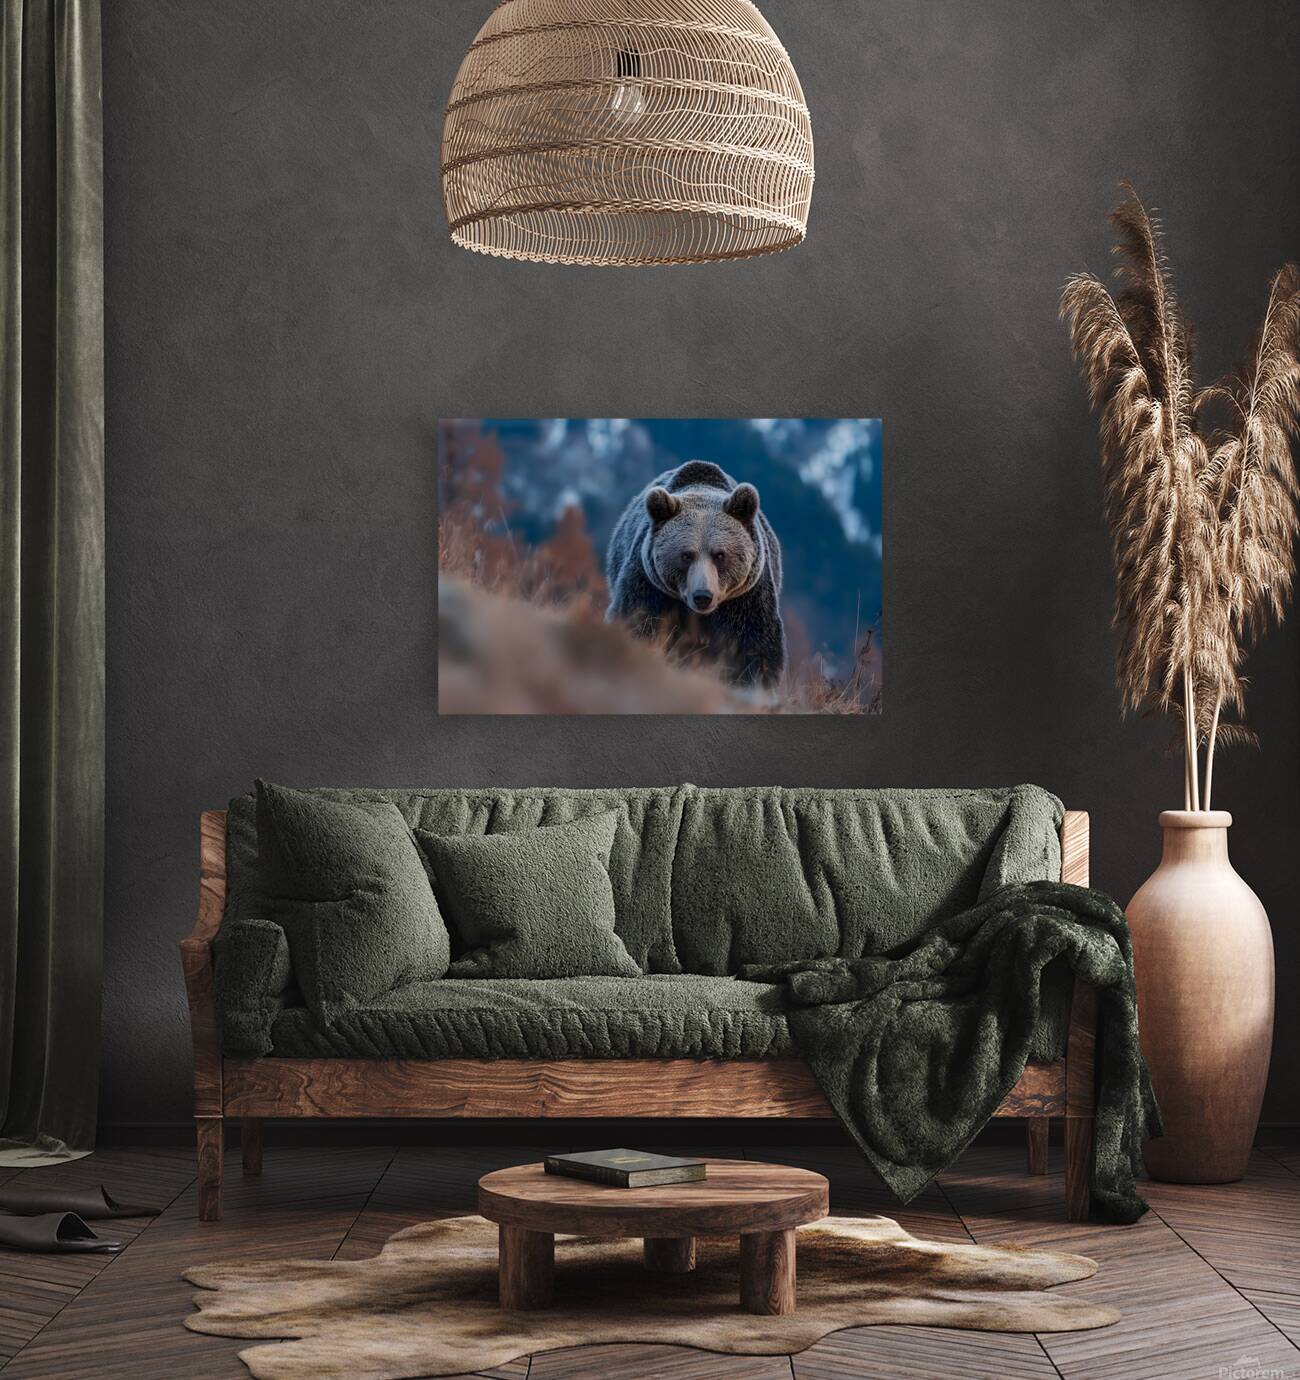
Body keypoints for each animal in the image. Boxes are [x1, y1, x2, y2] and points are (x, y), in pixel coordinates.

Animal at [605, 460, 786, 689]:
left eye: (720, 555)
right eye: (686, 555)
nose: (702, 596)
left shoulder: (746, 598)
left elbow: (754, 646)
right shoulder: (650, 586)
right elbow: (639, 622)